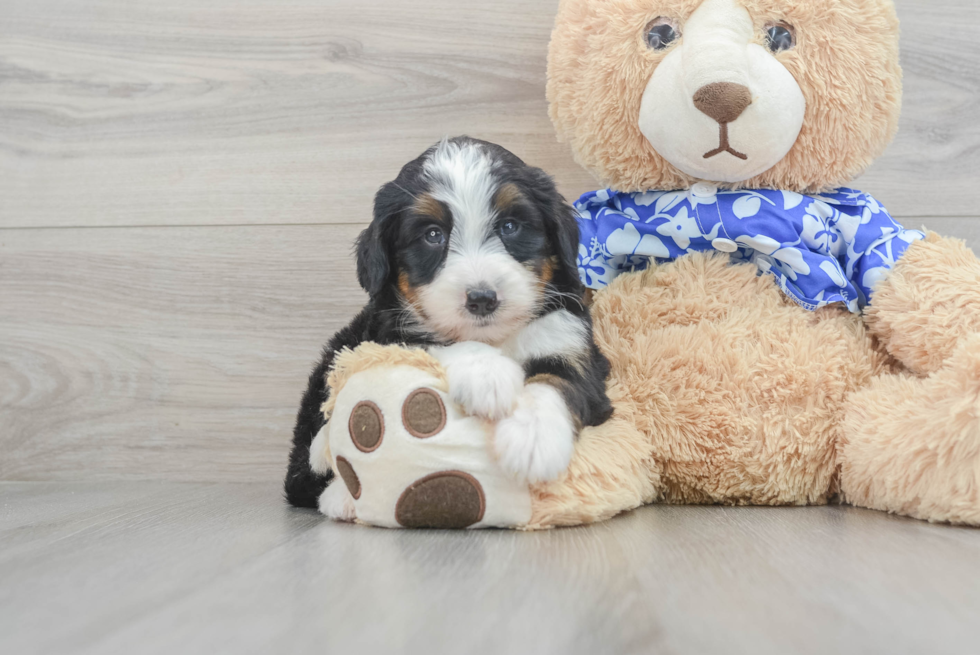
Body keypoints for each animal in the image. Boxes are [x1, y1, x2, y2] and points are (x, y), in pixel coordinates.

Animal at [284, 136, 612, 510]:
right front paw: (488, 376)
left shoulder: (568, 341)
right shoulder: (389, 335)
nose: (482, 298)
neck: (496, 338)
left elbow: (556, 382)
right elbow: (437, 343)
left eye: (510, 226)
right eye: (432, 235)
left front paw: (533, 439)